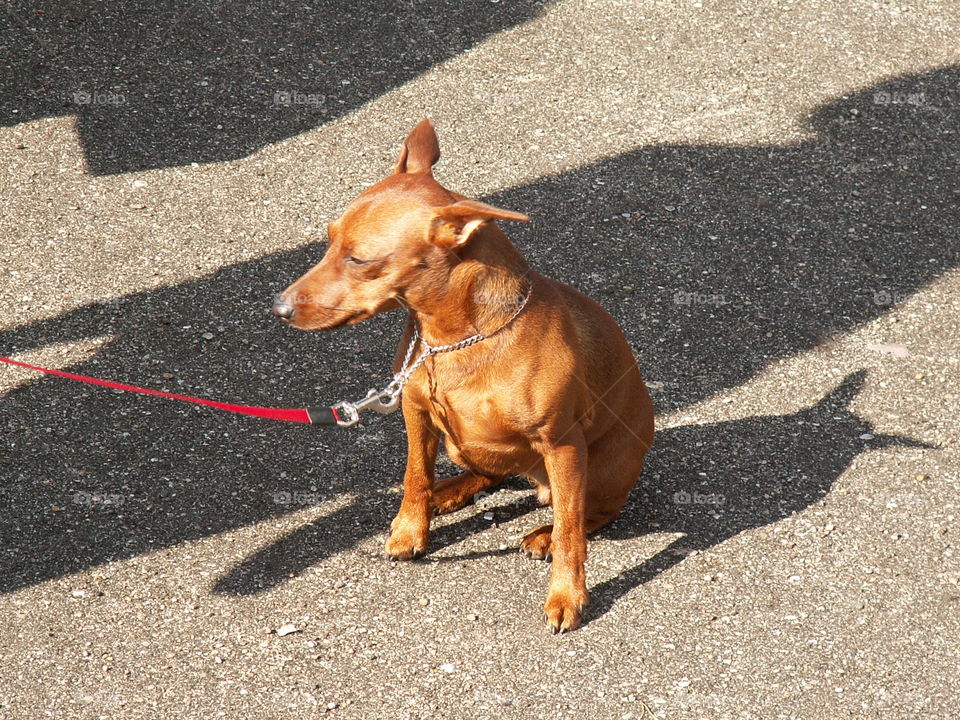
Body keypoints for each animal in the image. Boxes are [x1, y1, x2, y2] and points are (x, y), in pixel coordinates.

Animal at [274, 119, 656, 632]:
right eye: (329, 240)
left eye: (358, 259)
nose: (278, 308)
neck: (454, 339)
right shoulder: (414, 410)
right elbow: (414, 476)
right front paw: (411, 529)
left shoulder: (562, 443)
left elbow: (572, 534)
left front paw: (567, 596)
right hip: (462, 443)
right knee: (487, 474)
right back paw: (448, 493)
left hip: (596, 471)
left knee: (582, 515)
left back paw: (542, 533)